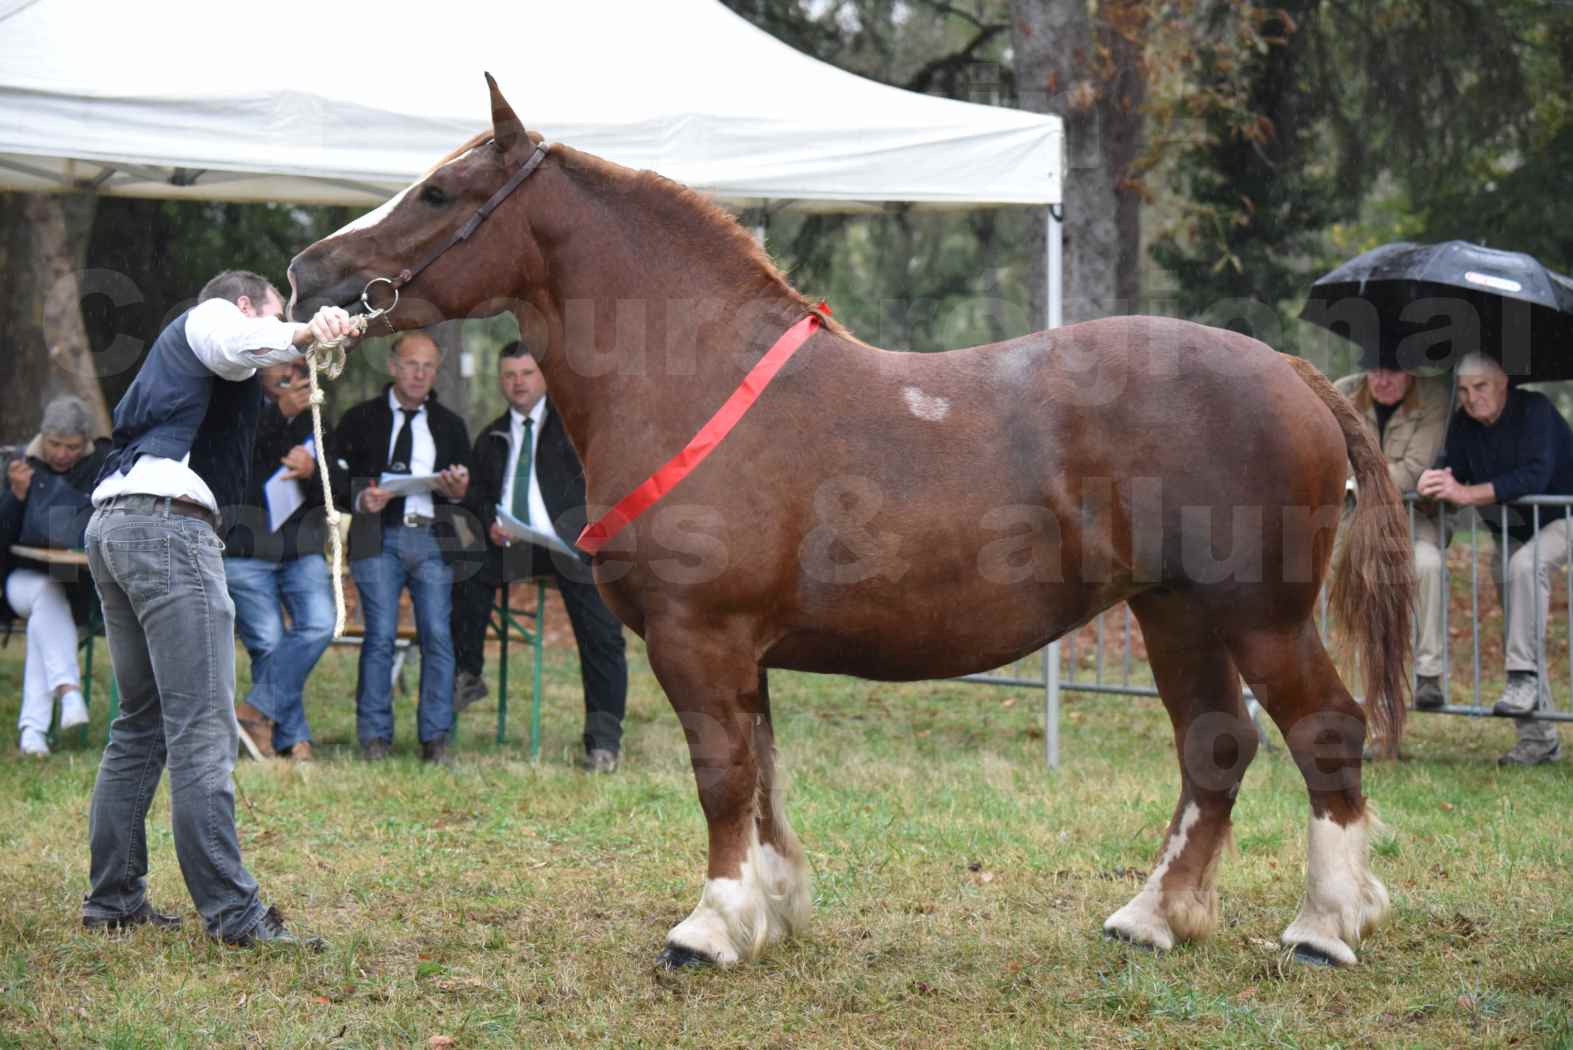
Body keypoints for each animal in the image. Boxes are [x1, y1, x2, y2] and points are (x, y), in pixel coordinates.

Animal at [289, 77, 1421, 974]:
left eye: (440, 192)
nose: (309, 272)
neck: (694, 377)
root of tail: (1293, 374)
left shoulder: (698, 638)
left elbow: (721, 777)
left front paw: (708, 928)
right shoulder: (742, 651)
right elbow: (762, 780)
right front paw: (772, 910)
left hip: (1260, 616)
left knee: (1323, 732)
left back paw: (1324, 925)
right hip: (1174, 614)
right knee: (1214, 746)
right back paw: (1151, 917)